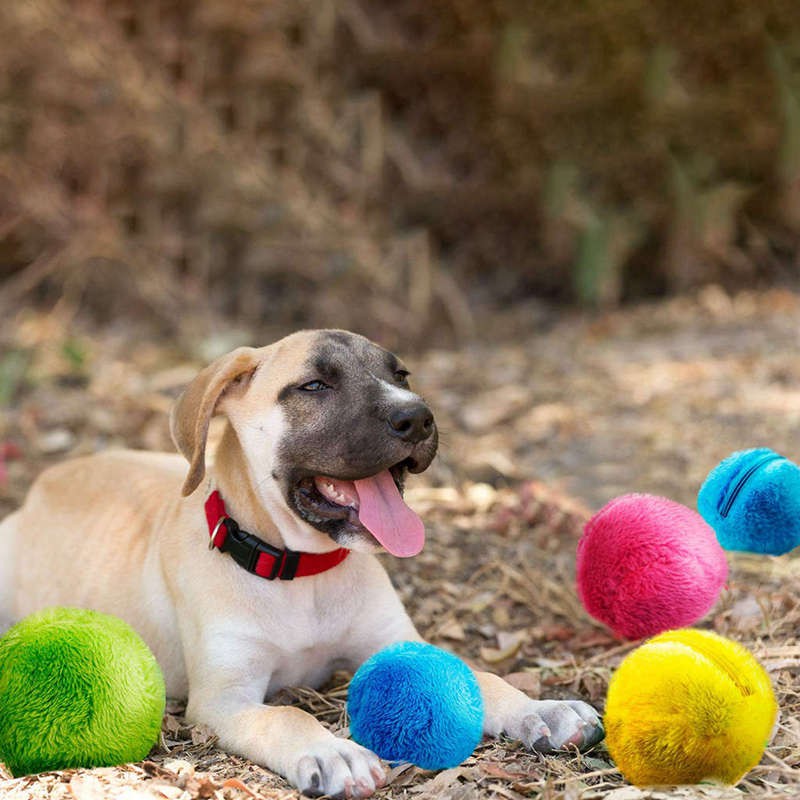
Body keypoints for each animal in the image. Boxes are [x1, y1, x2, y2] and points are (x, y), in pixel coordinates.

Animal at [0, 330, 600, 792]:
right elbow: (286, 715)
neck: (299, 572)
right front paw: (333, 752)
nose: (418, 417)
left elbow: (481, 676)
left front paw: (541, 708)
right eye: (314, 386)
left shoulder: (396, 642)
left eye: (401, 374)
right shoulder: (223, 701)